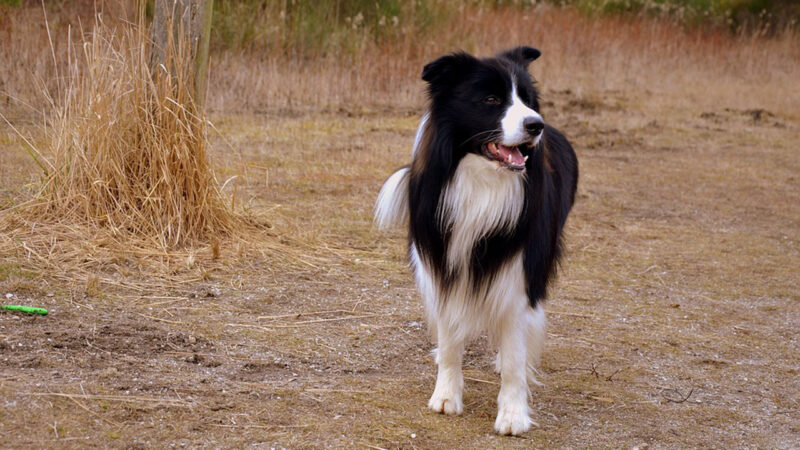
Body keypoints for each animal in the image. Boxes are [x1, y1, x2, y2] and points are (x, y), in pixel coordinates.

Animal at [376, 46, 576, 436]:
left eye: (527, 100)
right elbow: (451, 338)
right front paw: (445, 396)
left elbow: (514, 355)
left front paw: (513, 414)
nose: (536, 125)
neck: (481, 186)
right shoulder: (442, 262)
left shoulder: (519, 275)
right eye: (491, 100)